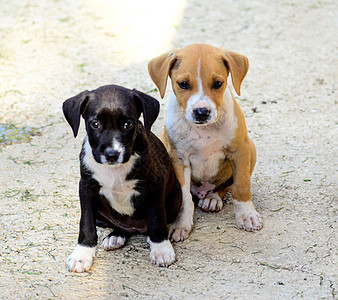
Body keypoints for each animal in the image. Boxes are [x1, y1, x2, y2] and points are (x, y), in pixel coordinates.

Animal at [61, 84, 181, 272]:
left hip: (176, 197)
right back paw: (116, 236)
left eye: (128, 124)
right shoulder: (86, 188)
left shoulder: (156, 185)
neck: (114, 170)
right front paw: (82, 255)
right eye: (95, 124)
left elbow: (157, 219)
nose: (112, 154)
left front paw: (161, 248)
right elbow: (86, 223)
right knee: (120, 225)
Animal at [147, 44, 262, 241]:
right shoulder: (179, 160)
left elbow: (241, 186)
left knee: (225, 187)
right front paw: (180, 224)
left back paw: (212, 198)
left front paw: (246, 214)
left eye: (218, 83)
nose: (202, 112)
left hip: (251, 149)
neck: (204, 130)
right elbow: (184, 198)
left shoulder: (240, 151)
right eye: (183, 84)